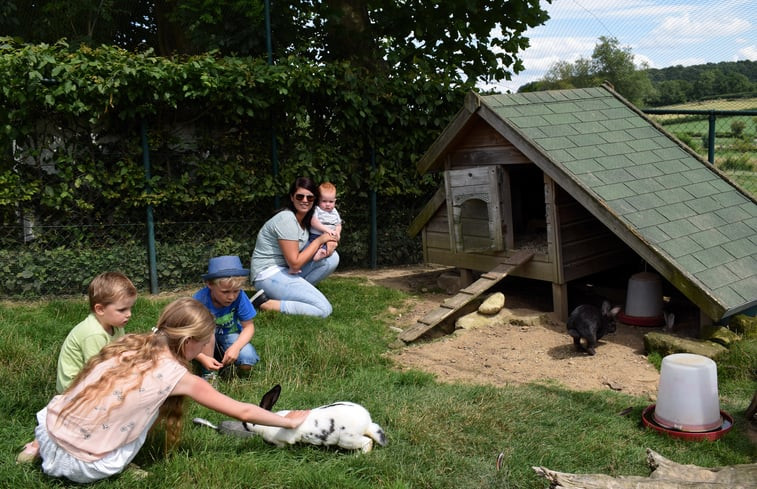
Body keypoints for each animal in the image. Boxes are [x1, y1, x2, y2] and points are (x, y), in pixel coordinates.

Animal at [242, 384, 386, 452]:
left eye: (251, 422)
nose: (243, 424)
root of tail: (367, 423)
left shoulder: (280, 441)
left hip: (348, 439)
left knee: (368, 442)